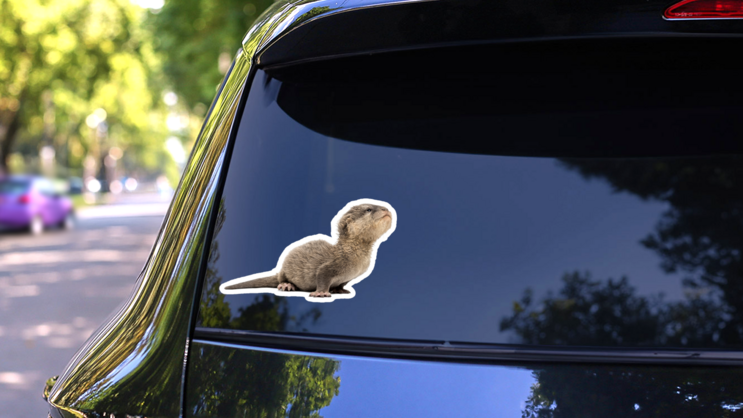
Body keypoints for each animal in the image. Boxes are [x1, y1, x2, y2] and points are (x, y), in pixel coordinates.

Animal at [221, 199, 395, 300]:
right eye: (369, 209)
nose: (387, 209)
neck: (353, 256)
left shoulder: (349, 277)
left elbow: (342, 283)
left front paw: (340, 290)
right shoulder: (330, 266)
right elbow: (322, 276)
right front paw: (322, 293)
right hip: (285, 268)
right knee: (281, 278)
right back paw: (287, 286)